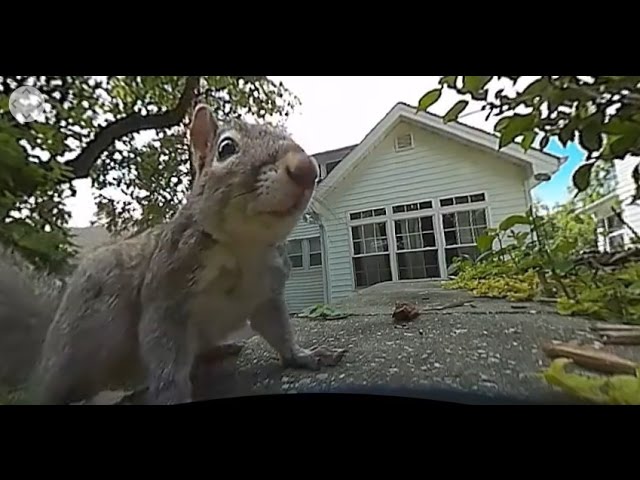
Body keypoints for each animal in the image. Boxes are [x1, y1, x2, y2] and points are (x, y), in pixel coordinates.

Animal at [2, 103, 346, 405]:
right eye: (226, 149)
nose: (306, 168)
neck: (242, 247)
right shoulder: (165, 298)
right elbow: (165, 357)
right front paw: (172, 395)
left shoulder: (266, 293)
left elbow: (278, 330)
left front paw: (304, 355)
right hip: (88, 334)